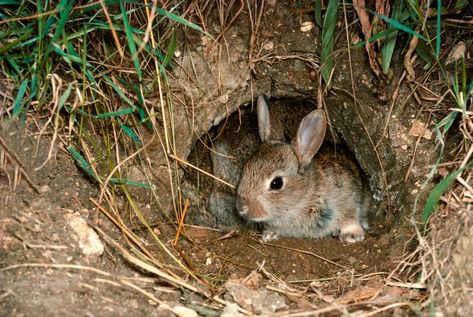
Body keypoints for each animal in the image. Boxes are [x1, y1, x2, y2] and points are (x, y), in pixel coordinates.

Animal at [236, 95, 368, 242]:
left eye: (276, 183)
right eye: (246, 168)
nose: (240, 207)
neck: (304, 197)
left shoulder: (348, 195)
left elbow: (350, 217)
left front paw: (352, 235)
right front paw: (269, 234)